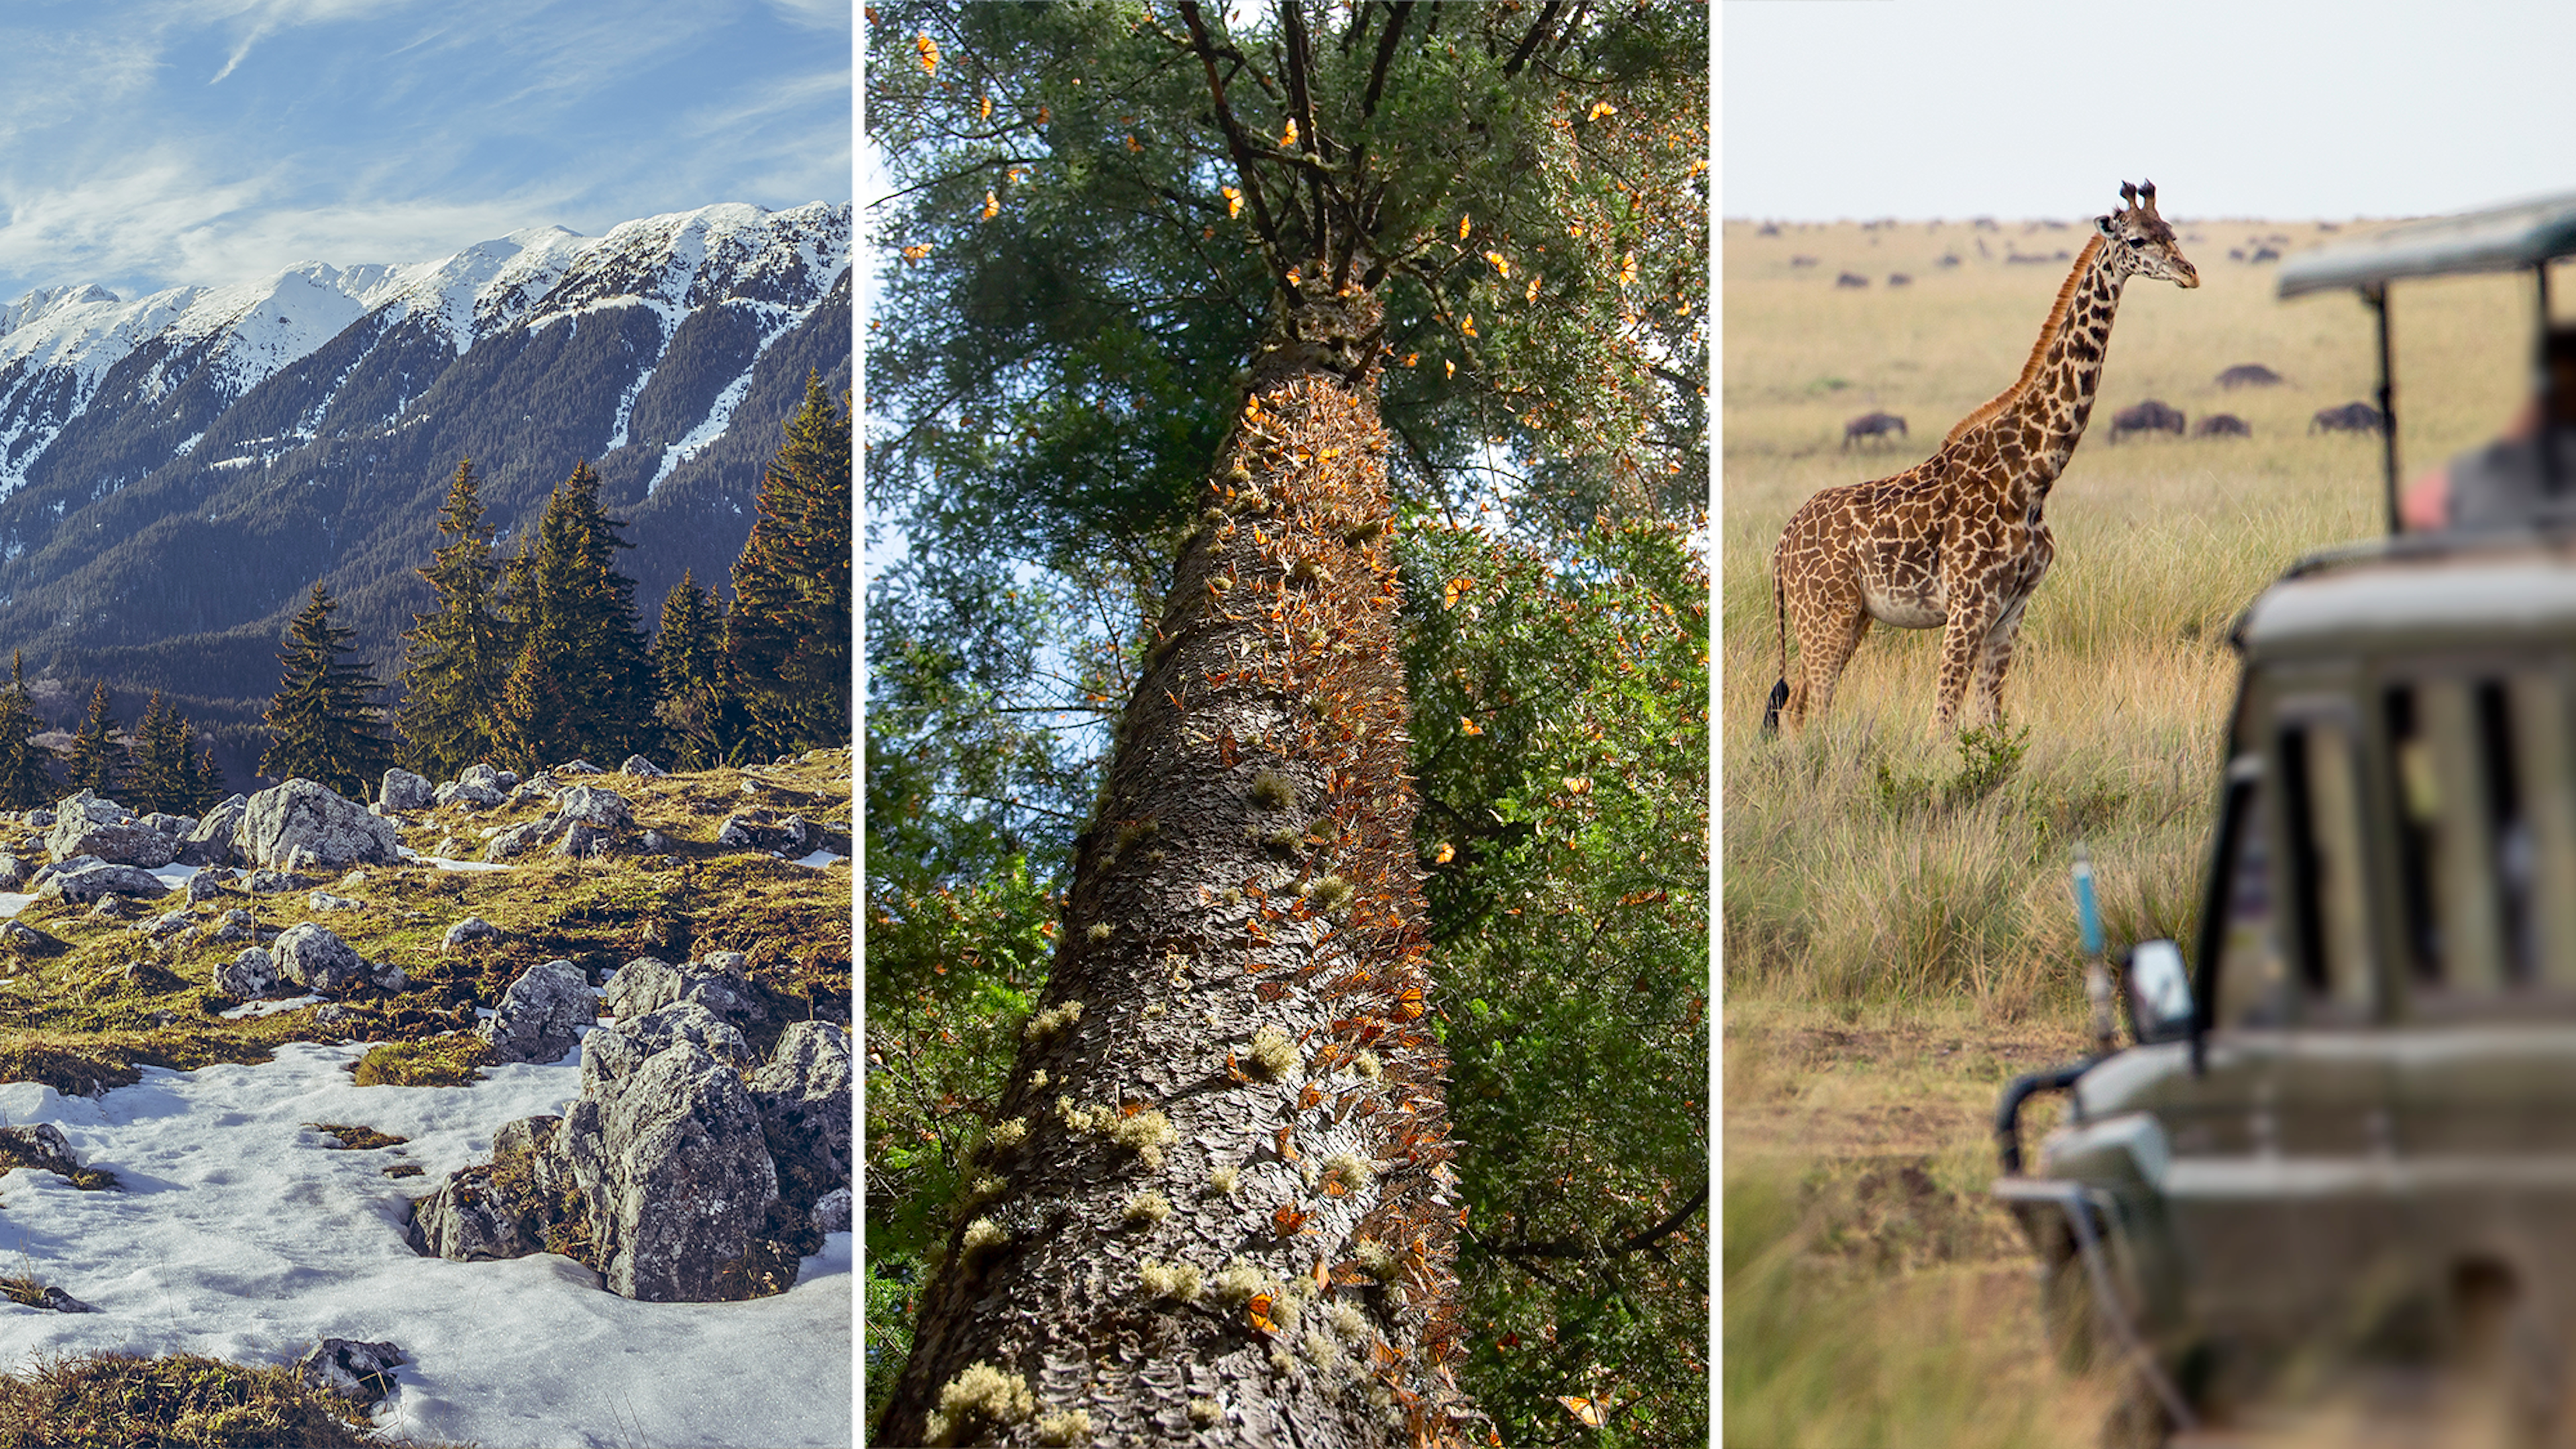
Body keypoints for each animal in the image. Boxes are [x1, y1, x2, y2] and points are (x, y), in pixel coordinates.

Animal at [1762, 182, 2205, 732]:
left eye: (2172, 232)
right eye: (2139, 240)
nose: (2190, 273)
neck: (2034, 473)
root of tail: (1781, 546)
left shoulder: (2012, 609)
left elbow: (1993, 720)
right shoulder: (1970, 605)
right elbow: (1943, 721)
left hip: (1850, 616)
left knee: (1799, 707)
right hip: (1826, 612)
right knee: (1813, 708)